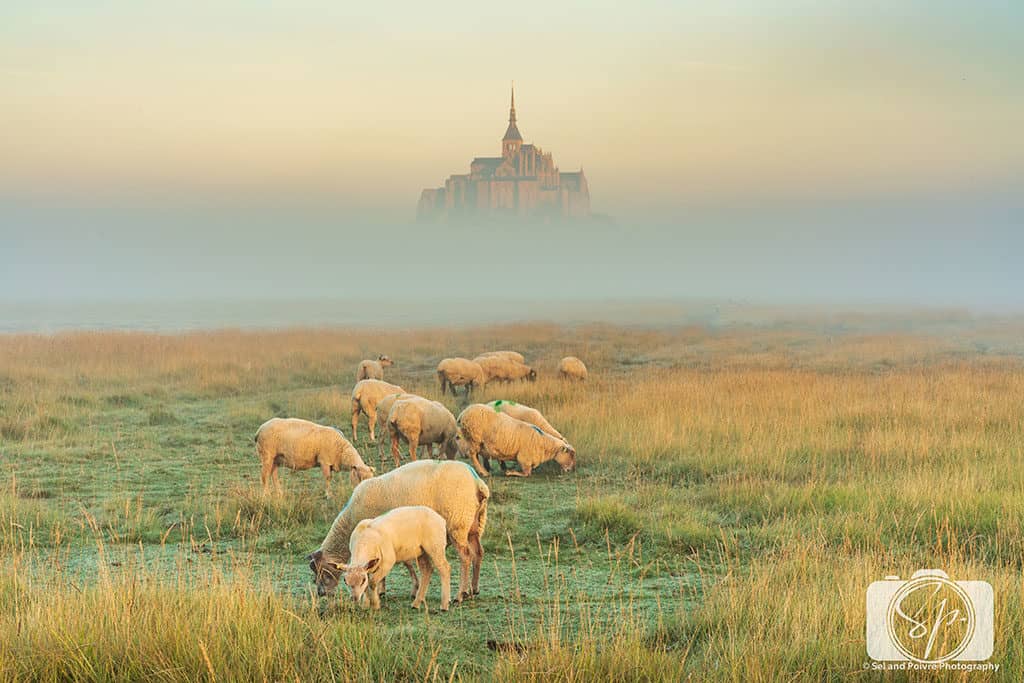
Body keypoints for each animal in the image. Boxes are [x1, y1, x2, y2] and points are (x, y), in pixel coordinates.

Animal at [308, 459, 488, 602]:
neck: (350, 520)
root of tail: (476, 482)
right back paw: (474, 589)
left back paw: (461, 594)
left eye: (323, 572)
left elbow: (399, 563)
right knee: (478, 553)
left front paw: (395, 589)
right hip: (475, 525)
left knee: (465, 557)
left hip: (457, 525)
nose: (321, 593)